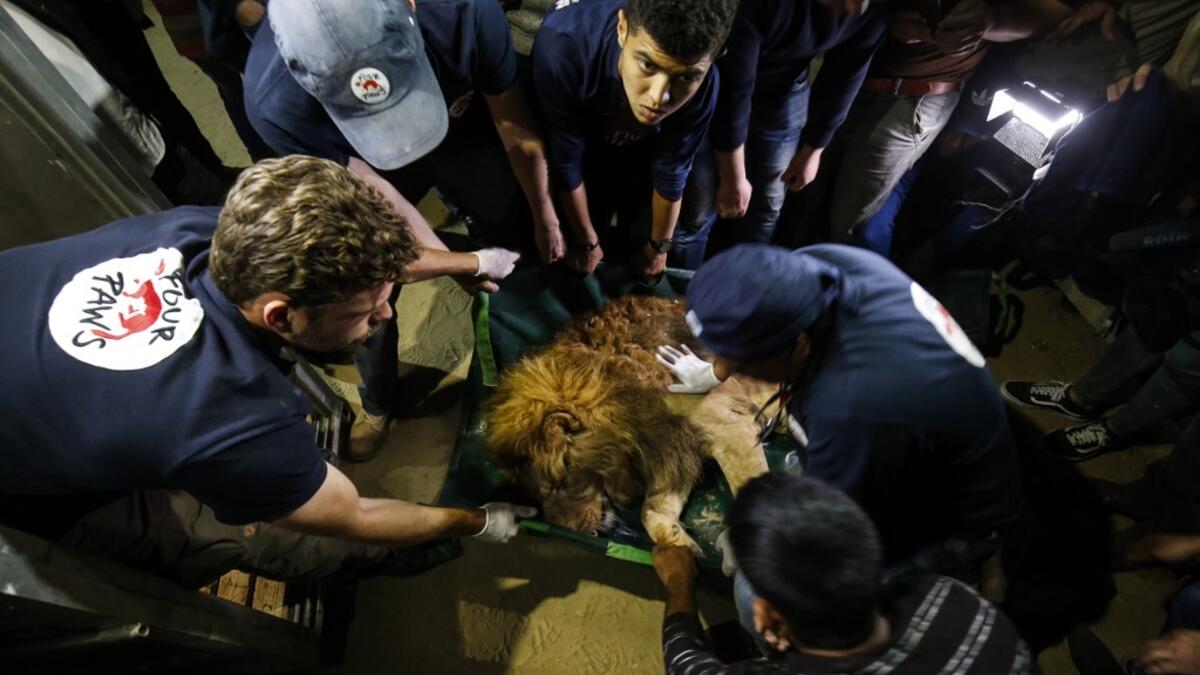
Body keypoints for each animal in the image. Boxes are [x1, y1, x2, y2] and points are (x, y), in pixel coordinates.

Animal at [485, 297, 774, 553]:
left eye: (559, 484)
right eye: (535, 495)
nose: (569, 533)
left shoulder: (728, 424)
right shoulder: (671, 448)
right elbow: (651, 513)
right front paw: (680, 543)